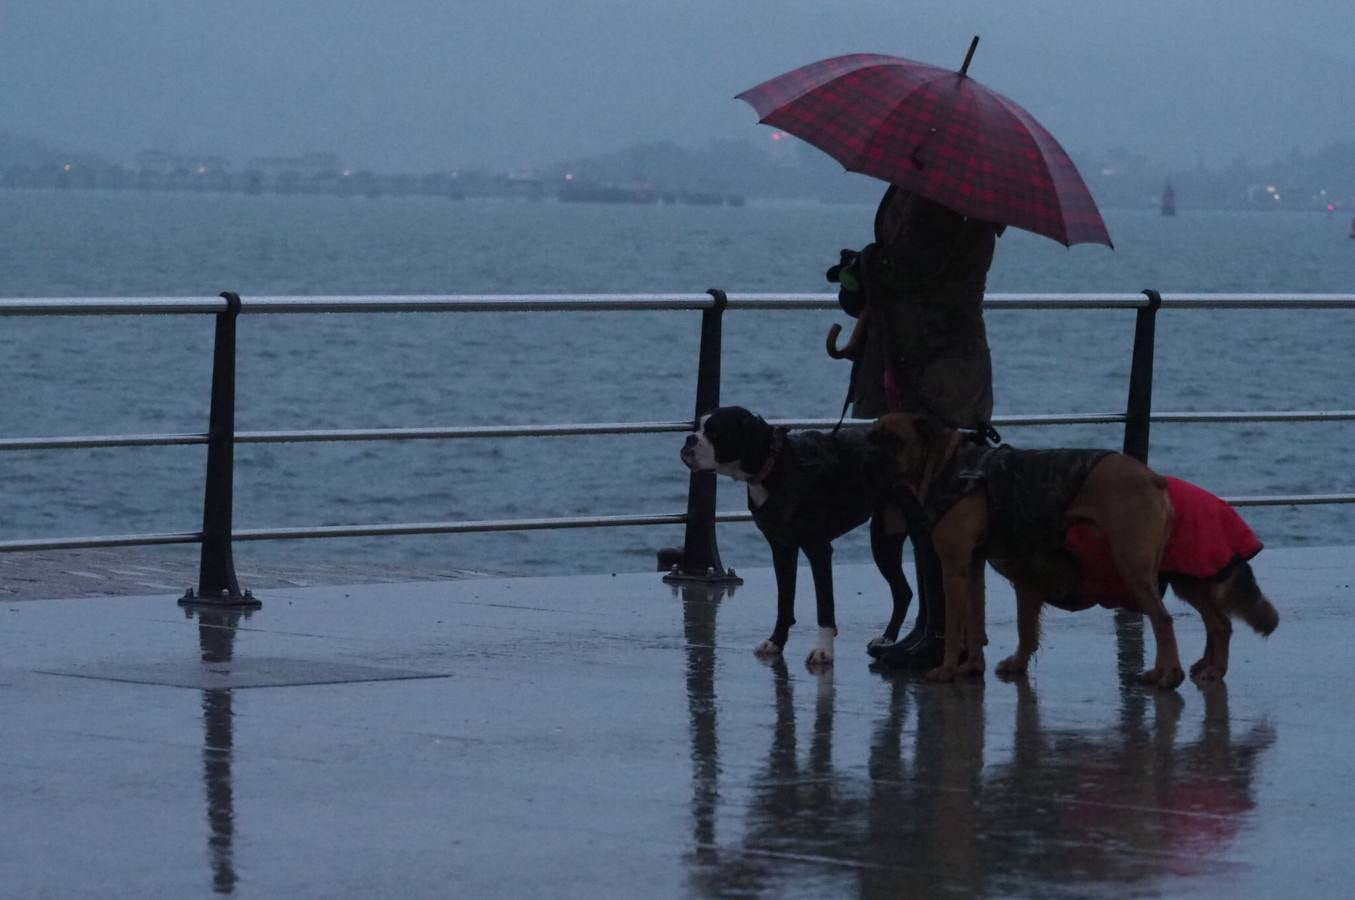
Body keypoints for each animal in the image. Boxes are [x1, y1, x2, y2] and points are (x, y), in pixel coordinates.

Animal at [682, 403, 915, 664]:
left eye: (715, 432)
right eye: (697, 427)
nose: (690, 439)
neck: (774, 466)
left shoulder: (818, 550)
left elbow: (824, 605)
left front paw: (824, 650)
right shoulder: (782, 549)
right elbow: (784, 601)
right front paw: (776, 642)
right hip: (885, 541)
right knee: (903, 592)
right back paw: (886, 640)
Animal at [867, 414, 1279, 688]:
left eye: (895, 439)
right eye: (872, 435)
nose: (869, 454)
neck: (947, 464)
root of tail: (1153, 478)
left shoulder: (954, 568)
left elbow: (957, 627)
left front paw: (948, 669)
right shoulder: (974, 568)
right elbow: (981, 622)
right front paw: (973, 667)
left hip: (1135, 566)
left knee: (1164, 621)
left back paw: (1166, 674)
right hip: (1183, 578)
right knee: (1218, 622)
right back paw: (1209, 670)